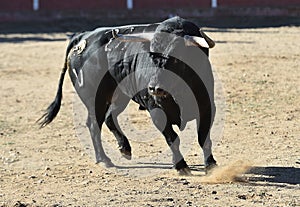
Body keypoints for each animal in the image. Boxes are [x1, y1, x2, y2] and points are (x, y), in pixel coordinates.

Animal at [39, 16, 218, 175]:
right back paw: (104, 159)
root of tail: (84, 36)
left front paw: (211, 165)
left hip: (120, 96)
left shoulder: (207, 108)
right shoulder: (157, 112)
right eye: (151, 55)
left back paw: (124, 148)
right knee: (94, 124)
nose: (154, 88)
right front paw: (181, 166)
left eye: (177, 58)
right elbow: (173, 138)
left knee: (109, 117)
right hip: (95, 99)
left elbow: (204, 138)